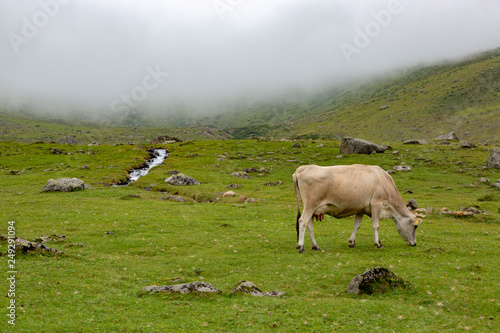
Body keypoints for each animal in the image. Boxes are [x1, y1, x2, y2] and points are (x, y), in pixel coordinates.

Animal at [292, 163, 422, 252]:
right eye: (415, 226)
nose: (415, 243)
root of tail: (305, 167)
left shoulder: (361, 209)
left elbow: (356, 225)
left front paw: (352, 242)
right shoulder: (376, 204)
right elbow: (376, 225)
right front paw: (378, 243)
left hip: (312, 209)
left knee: (309, 225)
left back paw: (315, 246)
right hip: (310, 206)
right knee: (302, 221)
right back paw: (301, 246)